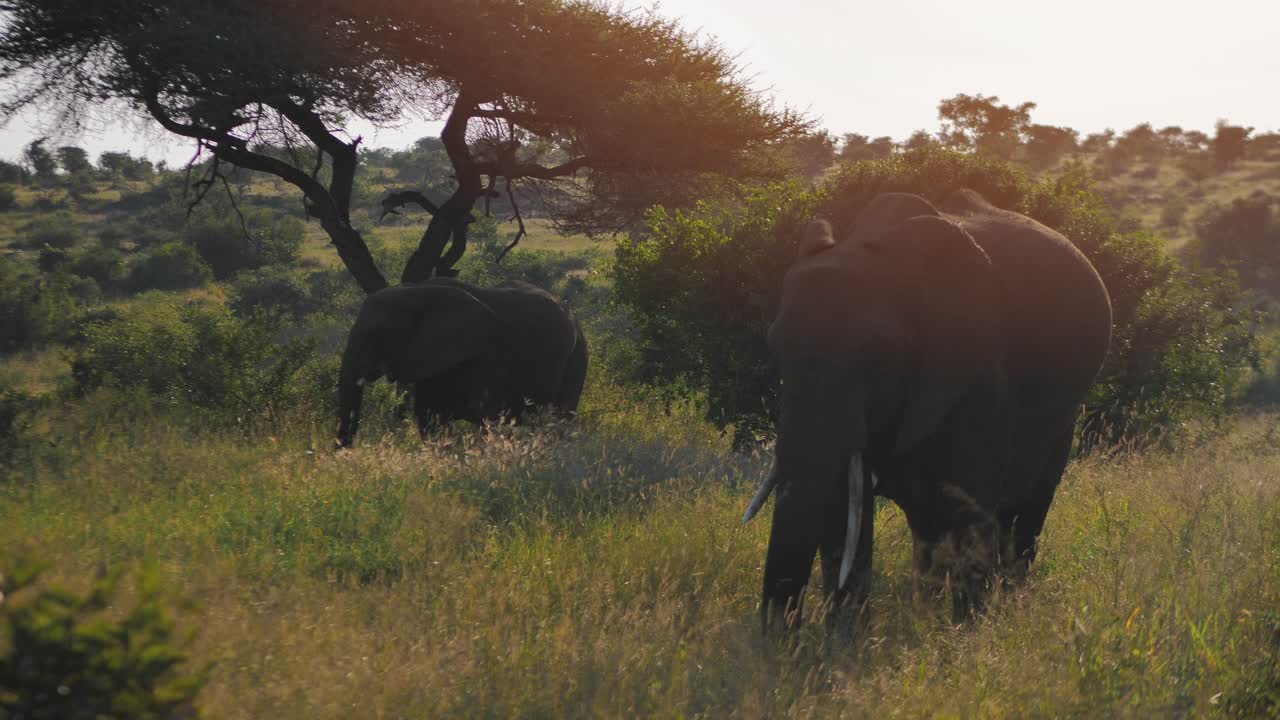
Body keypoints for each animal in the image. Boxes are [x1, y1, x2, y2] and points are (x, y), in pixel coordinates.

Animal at [335, 278, 587, 447]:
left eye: (377, 335)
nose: (345, 450)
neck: (418, 292)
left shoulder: (486, 353)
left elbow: (488, 417)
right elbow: (429, 419)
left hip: (577, 355)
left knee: (558, 418)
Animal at [743, 189, 1112, 630]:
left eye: (879, 358)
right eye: (775, 349)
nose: (784, 634)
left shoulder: (977, 370)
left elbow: (969, 506)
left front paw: (965, 633)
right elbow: (845, 505)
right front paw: (848, 638)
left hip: (1063, 415)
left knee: (1027, 504)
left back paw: (1008, 600)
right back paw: (929, 606)